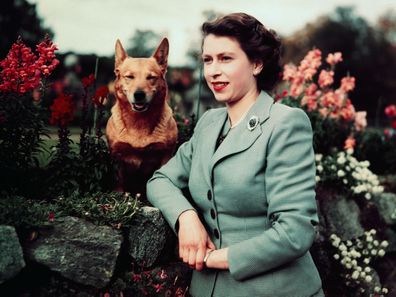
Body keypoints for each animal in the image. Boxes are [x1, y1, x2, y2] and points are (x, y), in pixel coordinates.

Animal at [106, 37, 178, 194]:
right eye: (129, 77)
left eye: (151, 77)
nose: (139, 95)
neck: (139, 122)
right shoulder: (117, 156)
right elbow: (119, 184)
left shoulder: (166, 155)